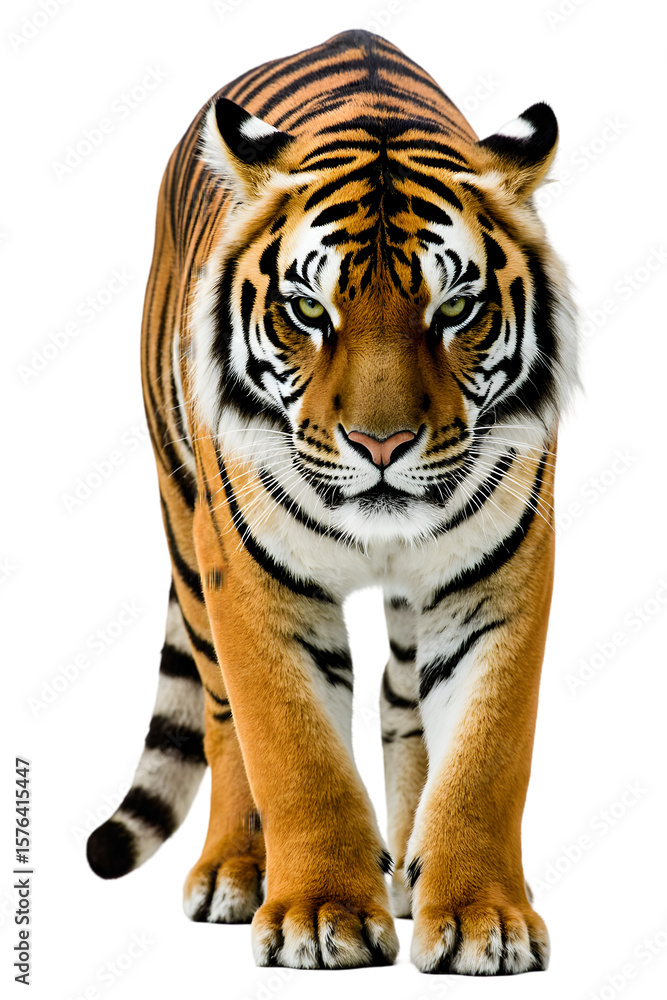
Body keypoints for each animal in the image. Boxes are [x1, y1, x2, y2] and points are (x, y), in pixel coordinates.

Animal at [86, 28, 578, 975]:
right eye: (308, 311)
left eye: (454, 309)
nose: (381, 446)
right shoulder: (250, 573)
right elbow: (293, 749)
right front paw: (319, 914)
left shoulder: (497, 572)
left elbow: (486, 752)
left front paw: (480, 916)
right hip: (185, 525)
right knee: (219, 713)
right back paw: (237, 871)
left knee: (399, 701)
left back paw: (412, 874)